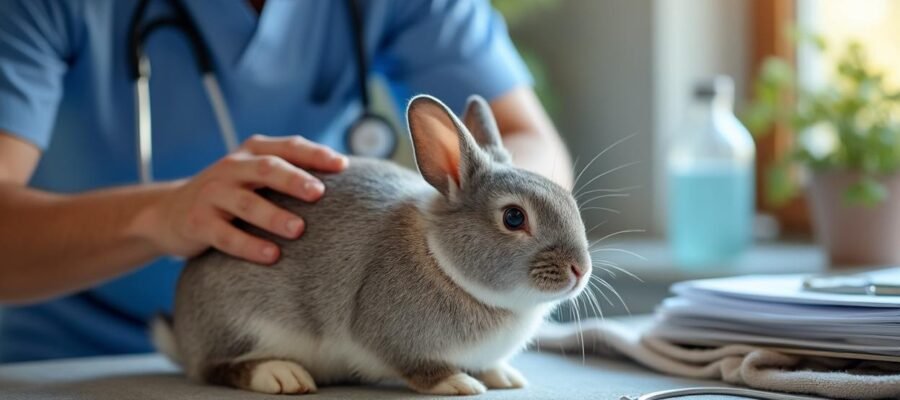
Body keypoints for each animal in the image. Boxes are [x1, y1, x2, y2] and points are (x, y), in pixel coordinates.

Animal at [151, 94, 592, 396]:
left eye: (568, 200)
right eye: (514, 218)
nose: (580, 269)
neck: (442, 261)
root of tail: (184, 336)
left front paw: (502, 376)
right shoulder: (388, 337)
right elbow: (416, 366)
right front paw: (458, 383)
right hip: (242, 324)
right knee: (215, 368)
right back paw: (280, 374)